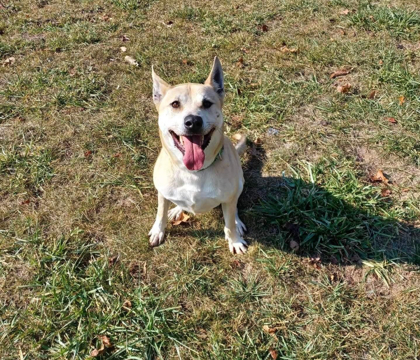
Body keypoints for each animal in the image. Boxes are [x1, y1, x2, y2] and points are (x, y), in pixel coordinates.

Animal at [148, 57, 248, 253]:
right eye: (175, 104)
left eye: (207, 103)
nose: (193, 121)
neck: (193, 172)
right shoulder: (162, 193)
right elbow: (160, 213)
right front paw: (158, 230)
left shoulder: (229, 197)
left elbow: (229, 224)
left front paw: (234, 240)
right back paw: (177, 209)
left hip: (239, 183)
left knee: (234, 208)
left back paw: (237, 223)